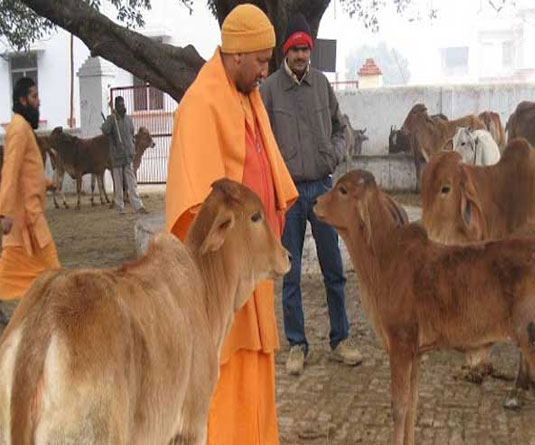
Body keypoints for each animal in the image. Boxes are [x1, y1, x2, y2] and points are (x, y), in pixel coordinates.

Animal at [314, 169, 535, 444]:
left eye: (343, 190)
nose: (315, 202)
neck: (384, 258)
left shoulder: (400, 343)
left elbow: (398, 406)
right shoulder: (415, 351)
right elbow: (413, 402)